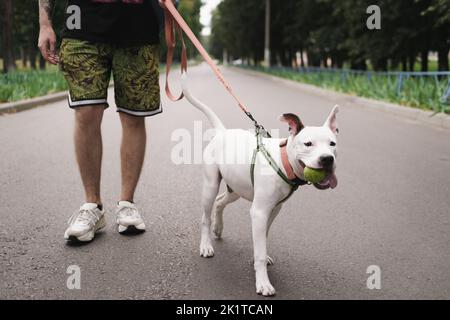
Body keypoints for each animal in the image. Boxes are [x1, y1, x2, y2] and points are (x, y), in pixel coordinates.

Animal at [181, 73, 340, 298]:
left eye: (332, 144)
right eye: (308, 144)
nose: (327, 159)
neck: (283, 161)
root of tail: (222, 132)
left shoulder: (273, 210)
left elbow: (262, 239)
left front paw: (260, 256)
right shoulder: (259, 211)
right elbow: (260, 248)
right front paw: (263, 282)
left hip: (235, 189)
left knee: (220, 202)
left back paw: (218, 227)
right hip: (210, 186)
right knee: (206, 215)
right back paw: (206, 245)